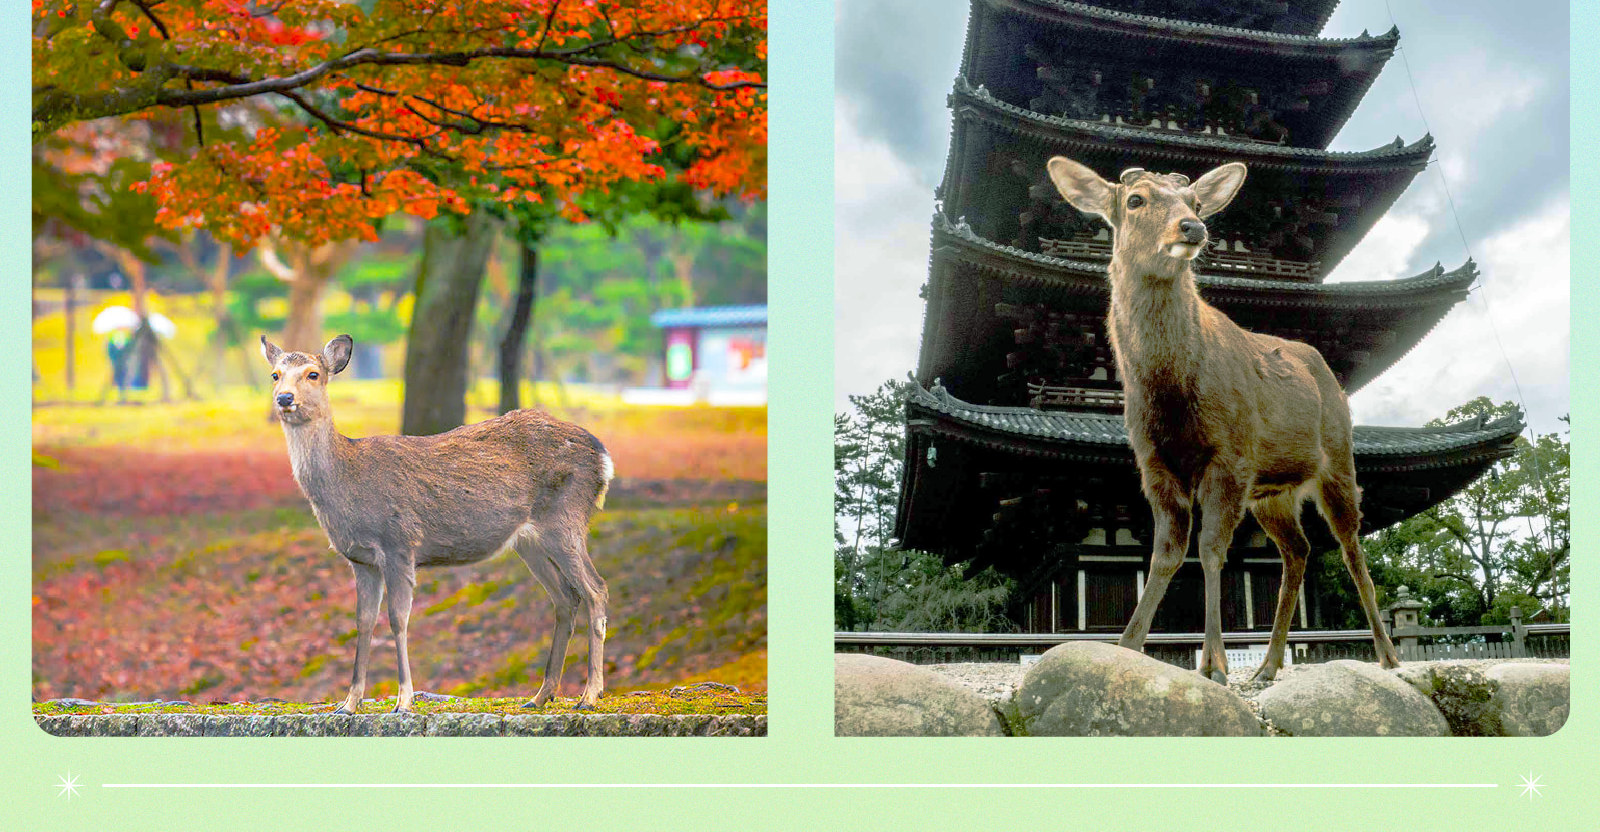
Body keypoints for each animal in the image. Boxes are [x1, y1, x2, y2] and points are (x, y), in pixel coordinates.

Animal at [259, 334, 614, 710]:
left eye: (313, 374)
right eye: (275, 374)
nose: (284, 398)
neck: (348, 482)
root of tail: (603, 458)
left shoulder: (399, 543)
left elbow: (398, 619)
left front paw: (403, 700)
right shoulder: (360, 559)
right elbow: (364, 622)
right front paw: (349, 703)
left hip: (565, 518)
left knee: (595, 589)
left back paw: (590, 695)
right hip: (530, 541)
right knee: (565, 599)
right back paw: (541, 695)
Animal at [1043, 156, 1395, 681]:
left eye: (1195, 201)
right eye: (1135, 199)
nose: (1192, 226)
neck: (1170, 396)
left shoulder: (1230, 454)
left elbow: (1210, 549)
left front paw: (1213, 664)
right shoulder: (1152, 463)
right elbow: (1165, 554)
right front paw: (1126, 646)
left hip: (1336, 457)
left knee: (1352, 547)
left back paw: (1387, 655)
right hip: (1272, 492)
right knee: (1298, 550)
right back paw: (1267, 665)